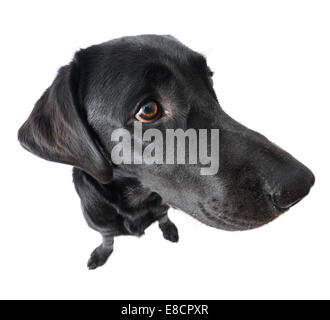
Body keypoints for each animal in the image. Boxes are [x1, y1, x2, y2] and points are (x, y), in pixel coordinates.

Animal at [18, 35, 314, 268]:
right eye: (148, 110)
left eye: (209, 82)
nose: (300, 185)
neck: (136, 202)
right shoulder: (101, 224)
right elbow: (107, 238)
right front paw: (101, 253)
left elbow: (162, 215)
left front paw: (168, 228)